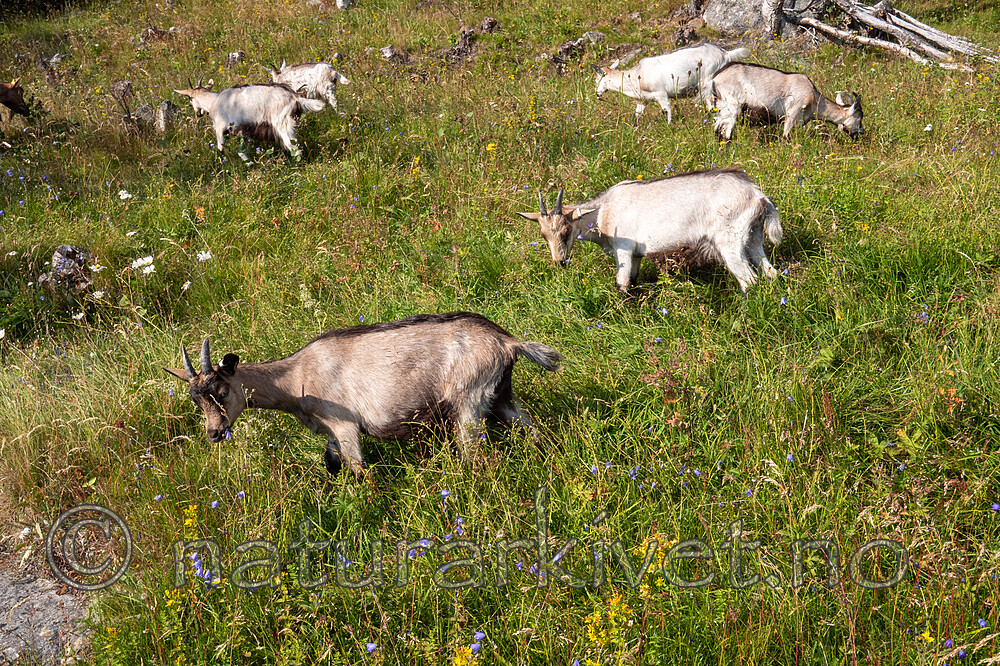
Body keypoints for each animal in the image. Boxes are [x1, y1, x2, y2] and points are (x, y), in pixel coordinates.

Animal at [164, 312, 562, 477]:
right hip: (501, 396)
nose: (215, 433)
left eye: (221, 390)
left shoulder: (344, 425)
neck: (297, 376)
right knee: (532, 430)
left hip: (468, 403)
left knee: (476, 457)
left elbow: (359, 472)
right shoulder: (330, 433)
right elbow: (332, 464)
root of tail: (507, 341)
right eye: (194, 399)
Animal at [173, 78, 325, 156]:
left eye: (190, 99)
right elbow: (242, 151)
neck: (214, 101)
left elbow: (220, 150)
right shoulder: (243, 131)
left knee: (293, 147)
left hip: (282, 123)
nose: (198, 113)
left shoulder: (221, 129)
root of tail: (295, 97)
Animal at [517, 169, 782, 293]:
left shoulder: (623, 249)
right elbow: (633, 281)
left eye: (566, 230)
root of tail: (758, 195)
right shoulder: (635, 255)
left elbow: (622, 284)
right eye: (543, 235)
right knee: (770, 273)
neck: (604, 210)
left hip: (730, 241)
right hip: (754, 238)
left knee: (749, 280)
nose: (560, 261)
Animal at [593, 43, 751, 123]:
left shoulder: (661, 94)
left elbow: (667, 110)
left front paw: (669, 128)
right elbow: (637, 114)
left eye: (595, 79)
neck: (637, 76)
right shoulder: (643, 99)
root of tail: (725, 54)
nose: (597, 93)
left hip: (709, 80)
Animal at [710, 63, 864, 140]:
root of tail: (716, 78)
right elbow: (785, 137)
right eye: (860, 117)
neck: (814, 99)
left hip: (722, 107)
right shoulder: (792, 113)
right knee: (727, 134)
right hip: (733, 106)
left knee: (717, 129)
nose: (861, 132)